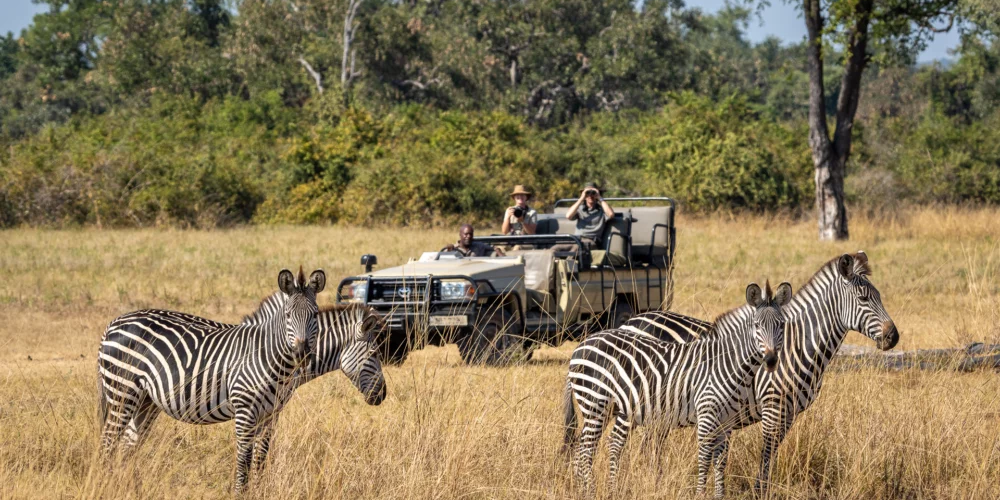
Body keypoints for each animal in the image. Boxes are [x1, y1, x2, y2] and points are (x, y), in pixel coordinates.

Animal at [98, 268, 384, 494]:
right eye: (374, 354)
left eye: (313, 315)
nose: (382, 395)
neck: (273, 357)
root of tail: (113, 323)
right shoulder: (245, 410)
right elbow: (243, 458)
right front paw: (241, 492)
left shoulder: (271, 414)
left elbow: (261, 457)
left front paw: (260, 491)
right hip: (122, 392)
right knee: (107, 445)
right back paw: (107, 485)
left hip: (145, 402)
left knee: (127, 447)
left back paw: (129, 487)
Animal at [564, 281, 793, 498]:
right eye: (757, 326)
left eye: (782, 325)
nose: (771, 361)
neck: (728, 365)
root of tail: (582, 345)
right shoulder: (707, 415)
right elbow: (704, 457)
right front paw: (700, 494)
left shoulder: (726, 422)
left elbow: (720, 461)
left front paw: (719, 495)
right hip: (595, 403)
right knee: (586, 450)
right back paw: (591, 491)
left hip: (613, 408)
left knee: (586, 446)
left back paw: (585, 490)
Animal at [620, 251, 900, 493]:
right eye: (864, 299)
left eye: (879, 296)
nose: (893, 337)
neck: (796, 345)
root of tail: (630, 321)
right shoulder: (772, 406)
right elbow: (766, 455)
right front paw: (760, 492)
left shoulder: (789, 413)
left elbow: (771, 454)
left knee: (650, 447)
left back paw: (655, 481)